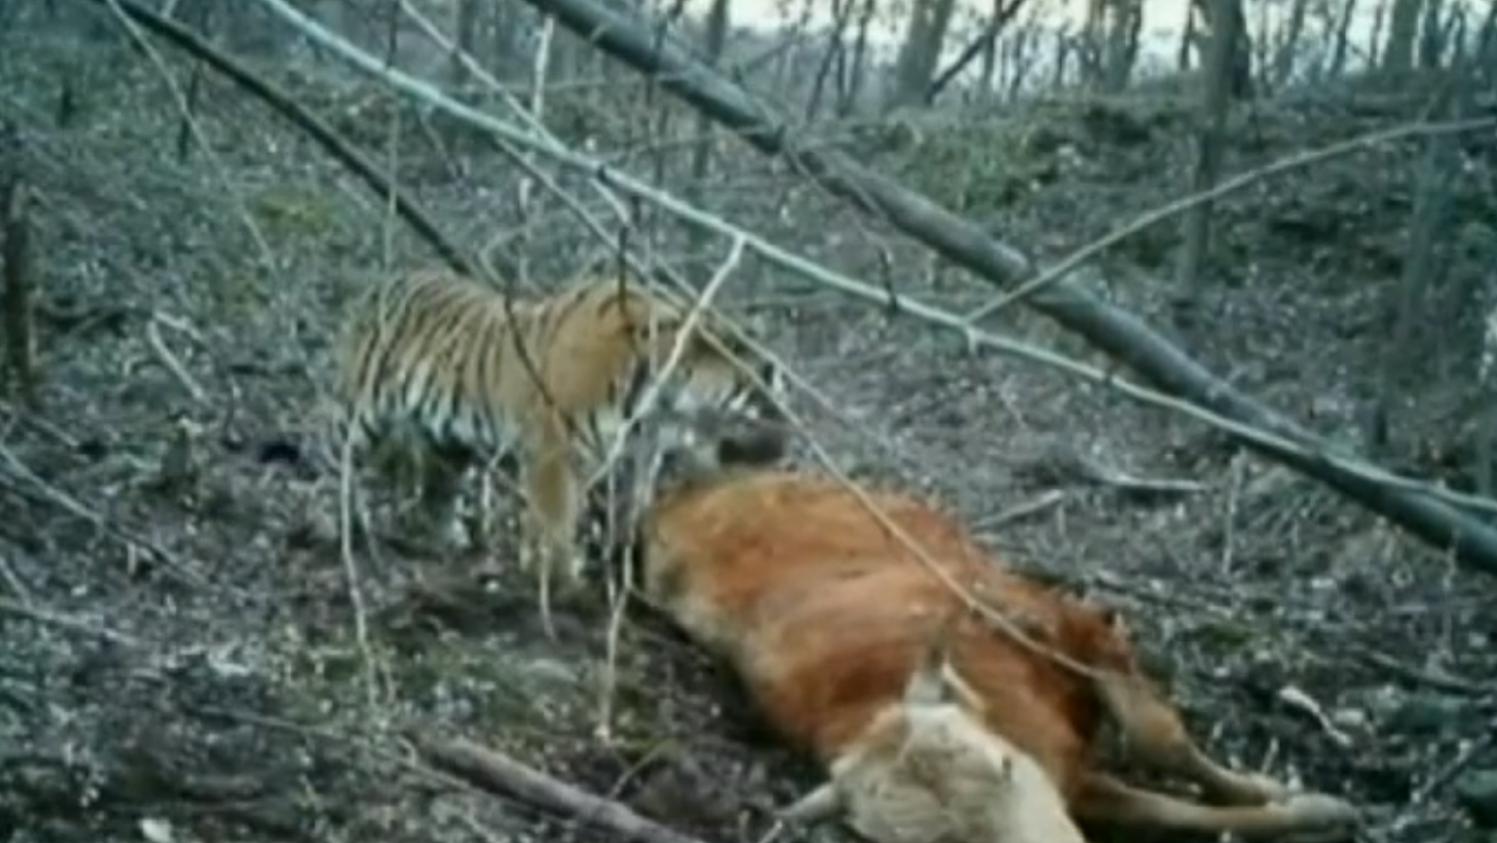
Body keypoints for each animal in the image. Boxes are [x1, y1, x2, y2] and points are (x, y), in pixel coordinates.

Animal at [327, 266, 790, 595]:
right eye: (764, 384)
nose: (788, 439)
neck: (659, 400)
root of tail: (383, 282)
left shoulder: (640, 448)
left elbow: (633, 500)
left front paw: (621, 556)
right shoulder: (555, 446)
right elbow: (556, 518)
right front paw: (560, 578)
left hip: (449, 438)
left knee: (440, 490)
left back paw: (449, 541)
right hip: (359, 413)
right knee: (335, 458)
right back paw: (336, 525)